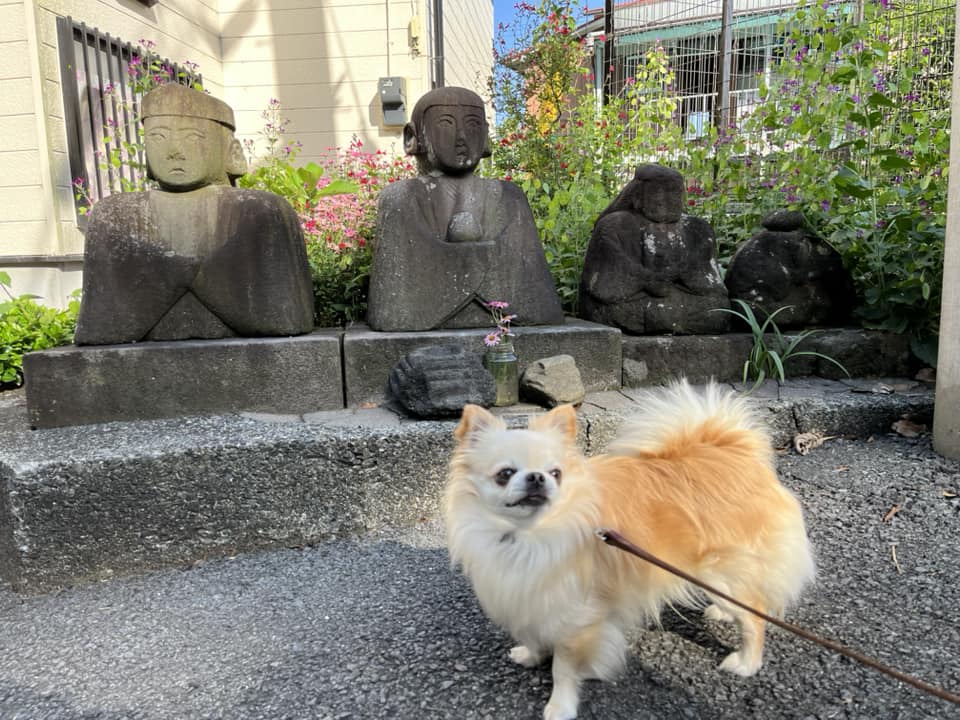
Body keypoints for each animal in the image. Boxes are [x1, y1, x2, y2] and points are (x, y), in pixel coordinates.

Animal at [443, 380, 815, 720]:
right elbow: (532, 631)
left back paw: (746, 663)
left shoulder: (576, 616)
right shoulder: (529, 593)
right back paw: (722, 613)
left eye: (556, 473)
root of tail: (734, 450)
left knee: (755, 615)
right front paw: (532, 655)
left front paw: (560, 706)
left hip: (723, 572)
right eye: (505, 474)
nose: (537, 478)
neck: (529, 535)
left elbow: (563, 668)